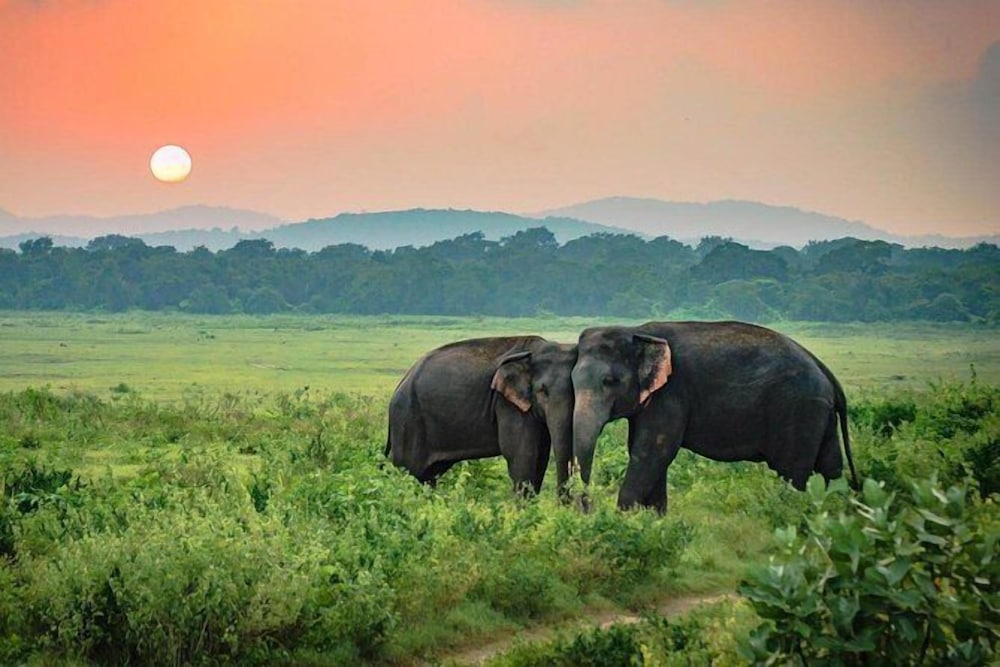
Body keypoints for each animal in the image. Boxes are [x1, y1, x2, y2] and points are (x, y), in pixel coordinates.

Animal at [386, 336, 577, 495]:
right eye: (542, 391)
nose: (564, 504)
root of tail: (400, 384)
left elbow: (541, 457)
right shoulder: (507, 404)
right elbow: (522, 456)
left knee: (427, 476)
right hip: (407, 421)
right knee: (408, 470)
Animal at [571, 321, 859, 512]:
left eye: (610, 381)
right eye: (572, 380)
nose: (588, 507)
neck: (636, 330)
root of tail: (826, 372)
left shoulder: (671, 394)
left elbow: (652, 452)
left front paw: (624, 519)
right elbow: (647, 453)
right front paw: (653, 521)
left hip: (798, 410)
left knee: (791, 472)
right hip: (819, 414)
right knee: (830, 466)